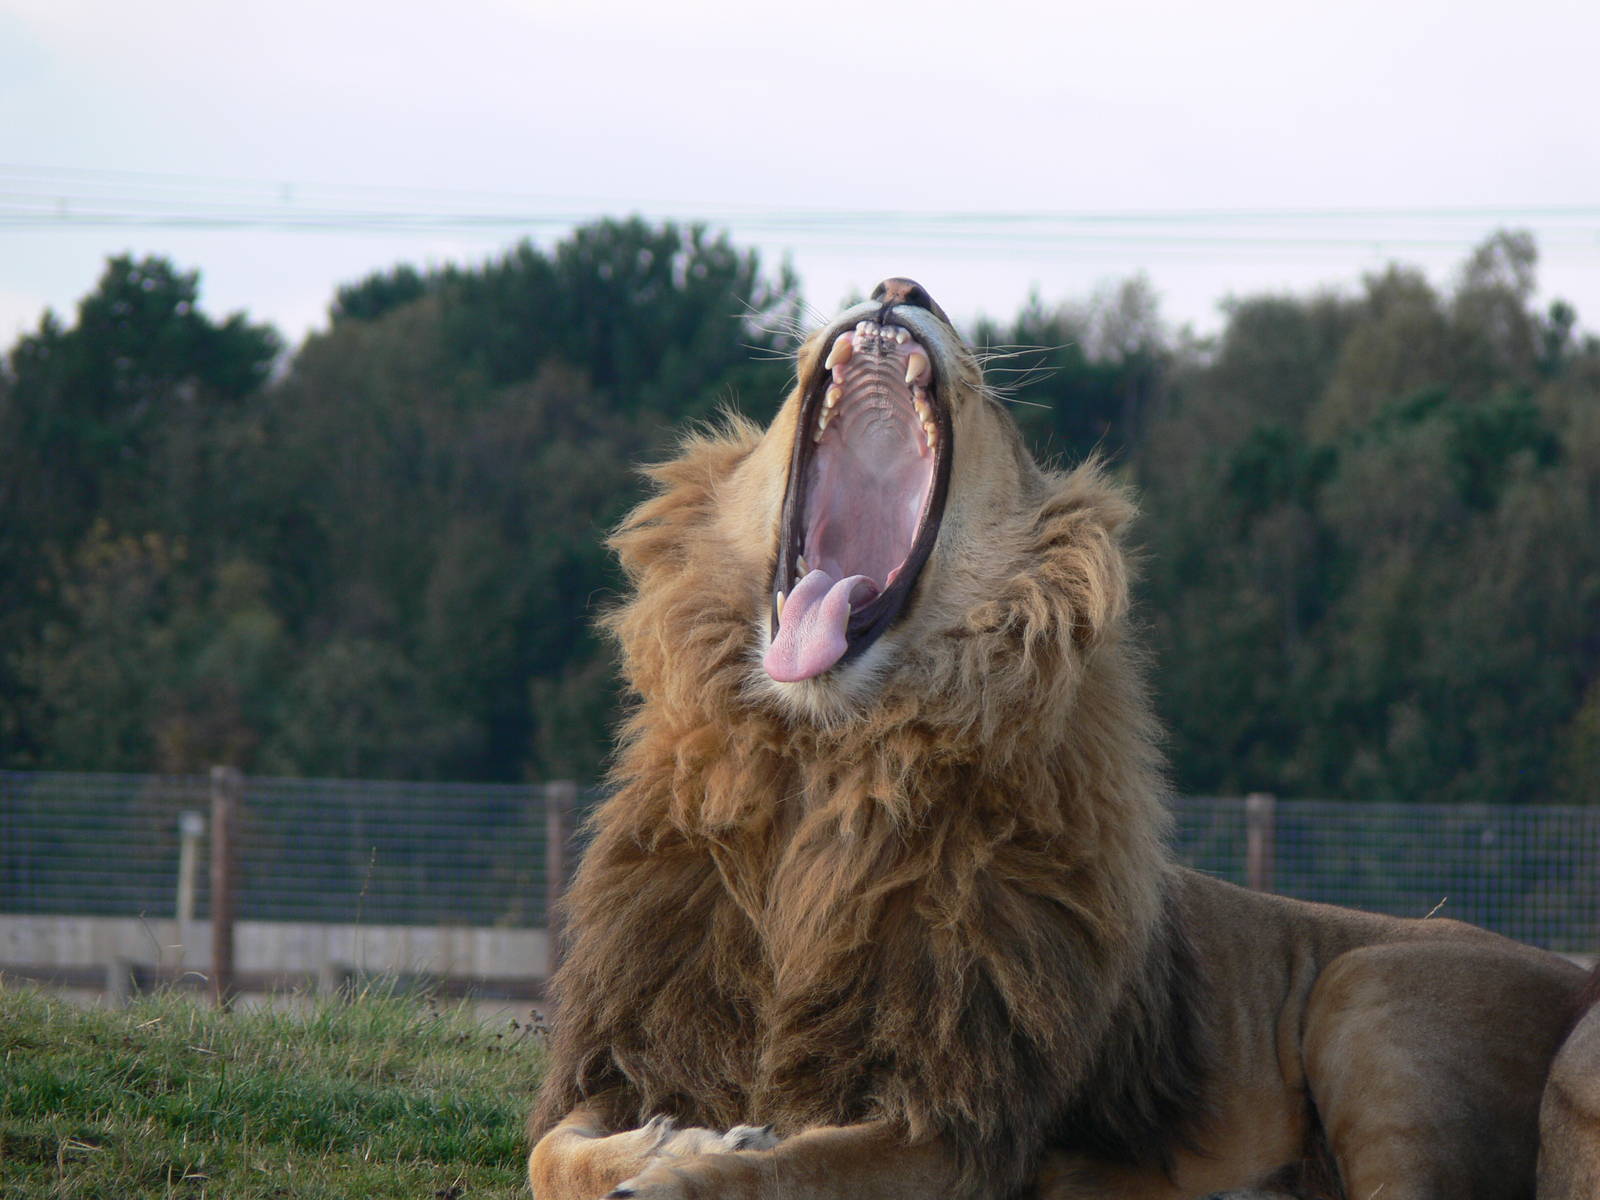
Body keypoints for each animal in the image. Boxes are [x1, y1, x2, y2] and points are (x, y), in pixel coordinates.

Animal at [527, 278, 1592, 1200]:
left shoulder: (968, 1124)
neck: (825, 768)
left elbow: (799, 1167)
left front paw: (689, 1170)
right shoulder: (640, 1036)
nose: (899, 285)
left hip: (1366, 995)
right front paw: (674, 1138)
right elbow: (554, 1149)